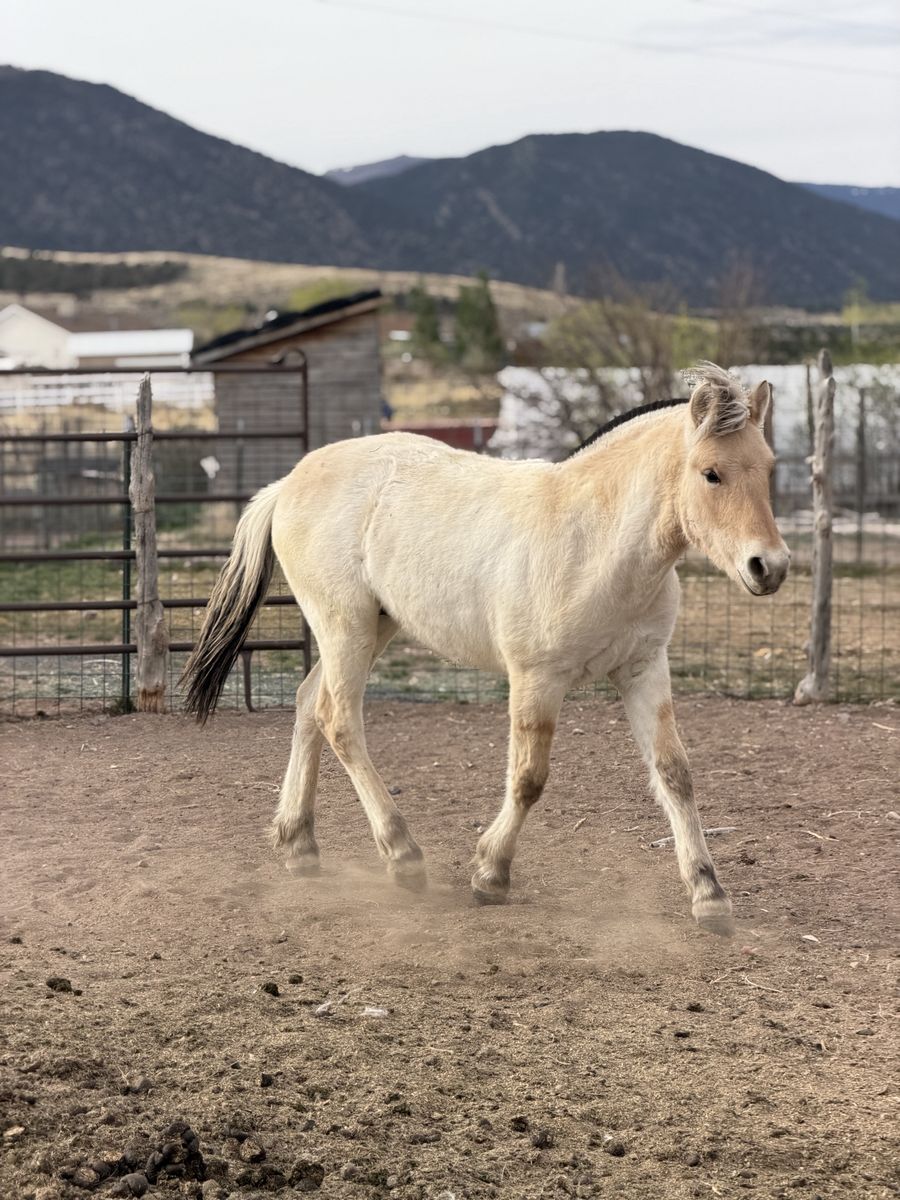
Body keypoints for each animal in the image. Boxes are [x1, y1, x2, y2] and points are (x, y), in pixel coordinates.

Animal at [182, 362, 789, 936]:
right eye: (711, 473)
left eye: (768, 469)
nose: (770, 566)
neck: (595, 540)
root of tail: (288, 482)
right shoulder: (536, 679)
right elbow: (528, 779)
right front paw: (490, 875)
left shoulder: (643, 669)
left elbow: (674, 774)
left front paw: (710, 896)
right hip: (345, 628)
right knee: (338, 719)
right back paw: (402, 856)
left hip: (371, 629)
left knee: (310, 704)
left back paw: (298, 844)